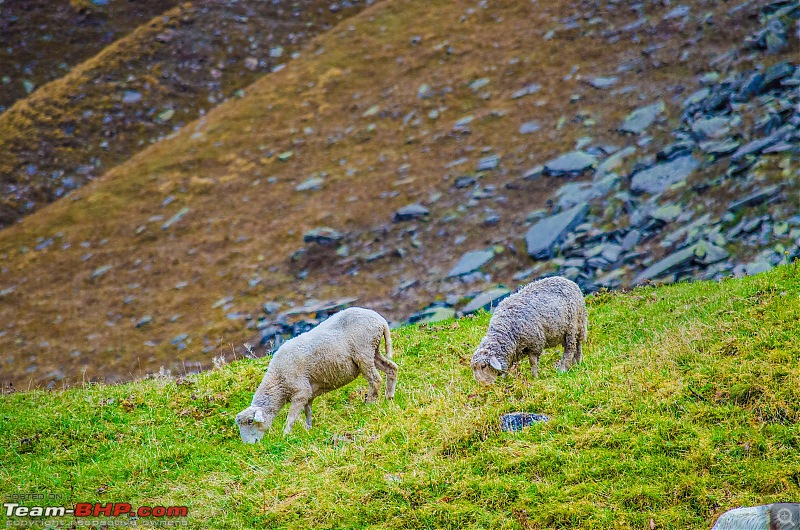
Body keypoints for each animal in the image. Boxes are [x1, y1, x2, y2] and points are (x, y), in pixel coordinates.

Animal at [234, 304, 396, 440]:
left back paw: (370, 404)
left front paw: (286, 435)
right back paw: (389, 397)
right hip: (373, 351)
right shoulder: (309, 394)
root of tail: (380, 320)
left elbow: (291, 417)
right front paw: (308, 429)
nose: (249, 445)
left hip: (364, 352)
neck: (278, 381)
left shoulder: (300, 392)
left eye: (250, 421)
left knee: (375, 380)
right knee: (392, 368)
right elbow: (308, 411)